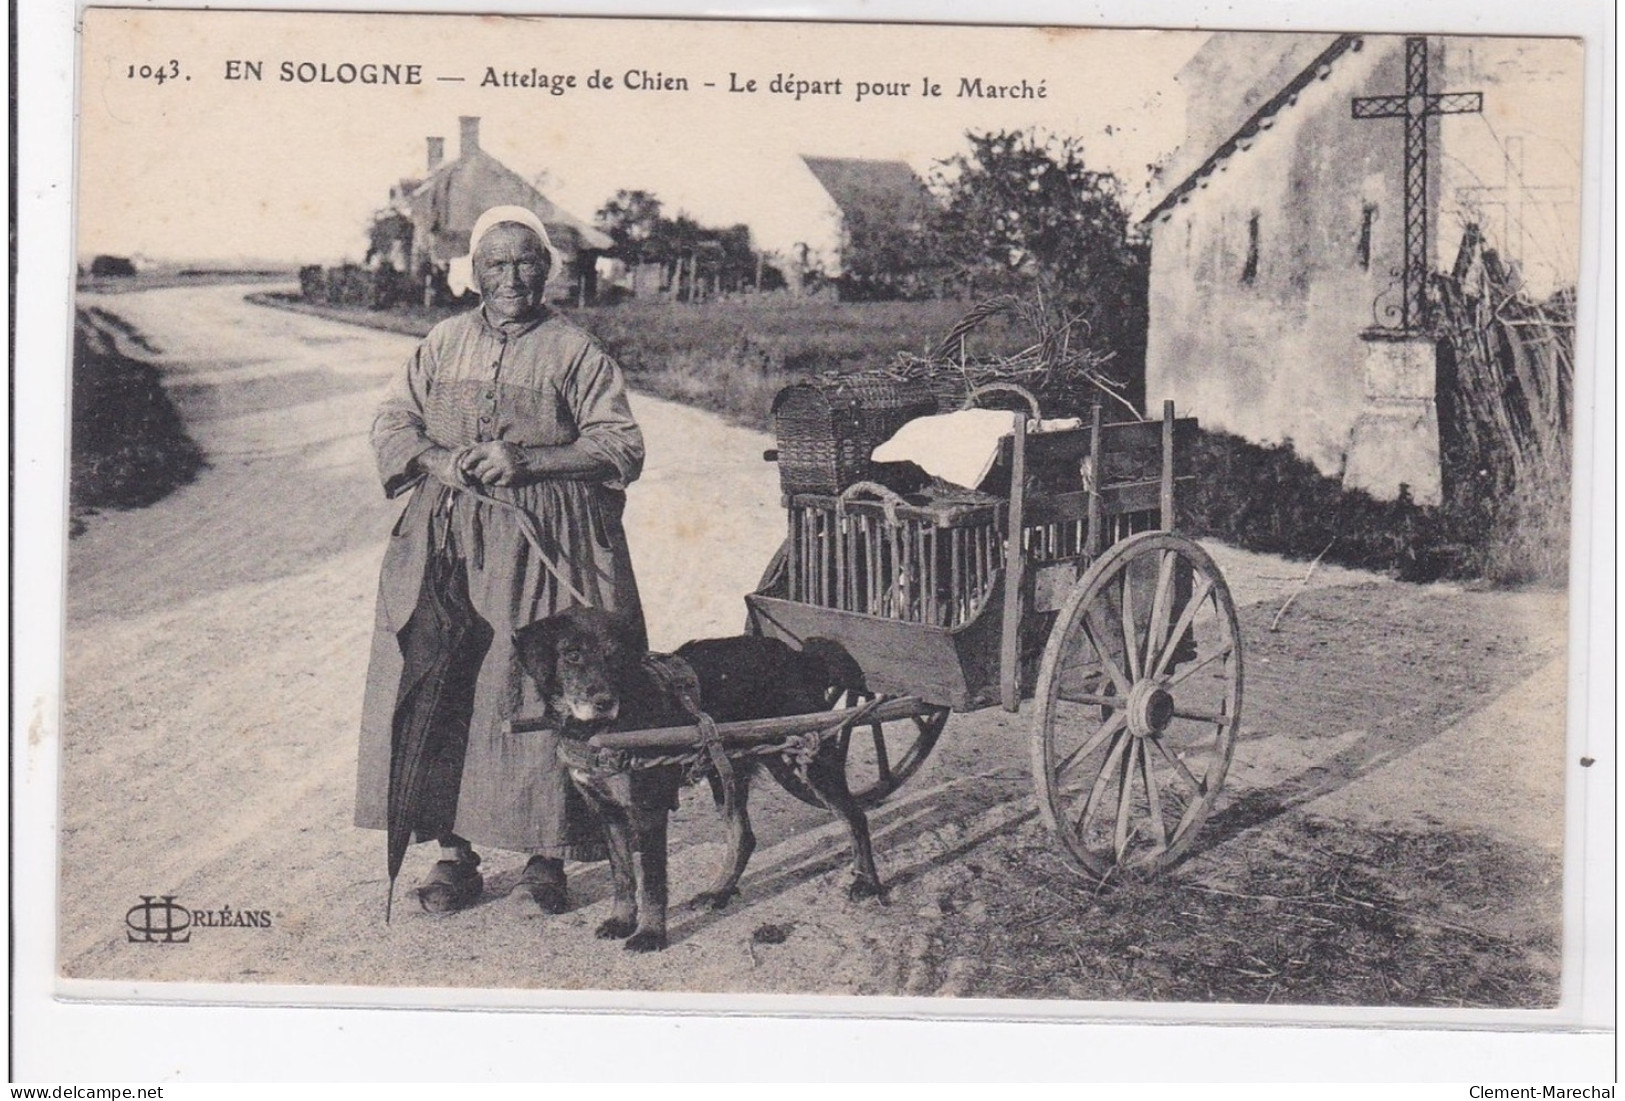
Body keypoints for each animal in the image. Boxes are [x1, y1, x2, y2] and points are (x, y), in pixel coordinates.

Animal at [516, 607, 877, 954]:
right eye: (572, 654)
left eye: (614, 656)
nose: (604, 702)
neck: (600, 729)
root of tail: (801, 657)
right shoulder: (608, 812)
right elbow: (622, 875)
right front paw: (621, 920)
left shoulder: (648, 811)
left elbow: (652, 881)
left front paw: (649, 934)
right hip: (730, 773)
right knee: (744, 836)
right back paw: (719, 891)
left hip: (805, 762)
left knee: (854, 815)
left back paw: (868, 883)